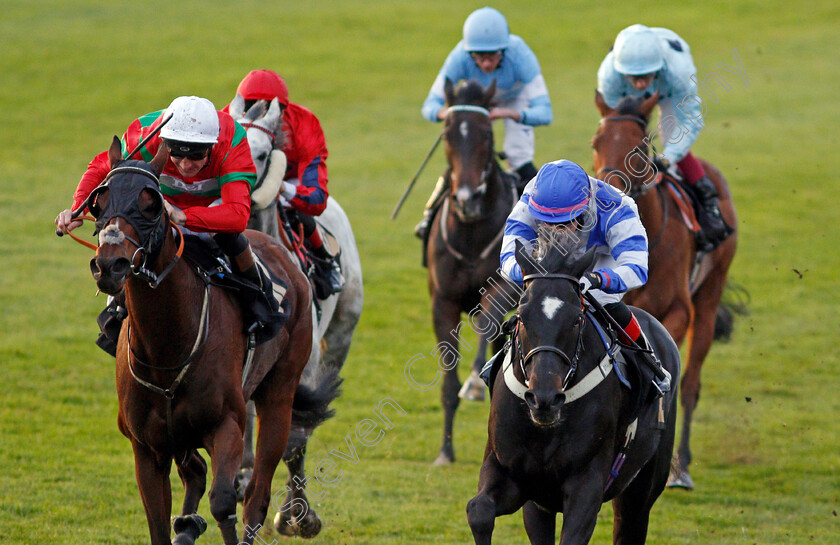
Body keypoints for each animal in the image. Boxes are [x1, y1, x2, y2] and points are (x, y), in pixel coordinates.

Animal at [87, 137, 314, 544]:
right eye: (100, 200)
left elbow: (224, 502)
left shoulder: (227, 424)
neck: (166, 349)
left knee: (257, 495)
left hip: (279, 393)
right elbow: (158, 524)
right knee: (195, 472)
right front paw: (183, 524)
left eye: (151, 203)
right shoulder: (147, 448)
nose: (110, 264)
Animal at [470, 241, 680, 544]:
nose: (544, 398)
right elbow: (479, 510)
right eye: (521, 317)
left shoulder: (587, 484)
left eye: (577, 319)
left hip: (641, 487)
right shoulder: (513, 475)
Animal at [592, 91, 740, 486]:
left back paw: (682, 466)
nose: (609, 196)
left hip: (709, 296)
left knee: (690, 385)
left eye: (639, 147)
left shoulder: (678, 311)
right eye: (597, 143)